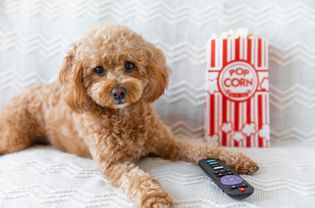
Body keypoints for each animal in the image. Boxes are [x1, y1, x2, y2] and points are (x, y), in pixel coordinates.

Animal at [0, 24, 260, 208]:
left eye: (129, 65)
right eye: (98, 70)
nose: (118, 91)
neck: (124, 117)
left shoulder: (168, 144)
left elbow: (203, 150)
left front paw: (237, 159)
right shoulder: (115, 163)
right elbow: (139, 180)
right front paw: (156, 199)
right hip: (14, 136)